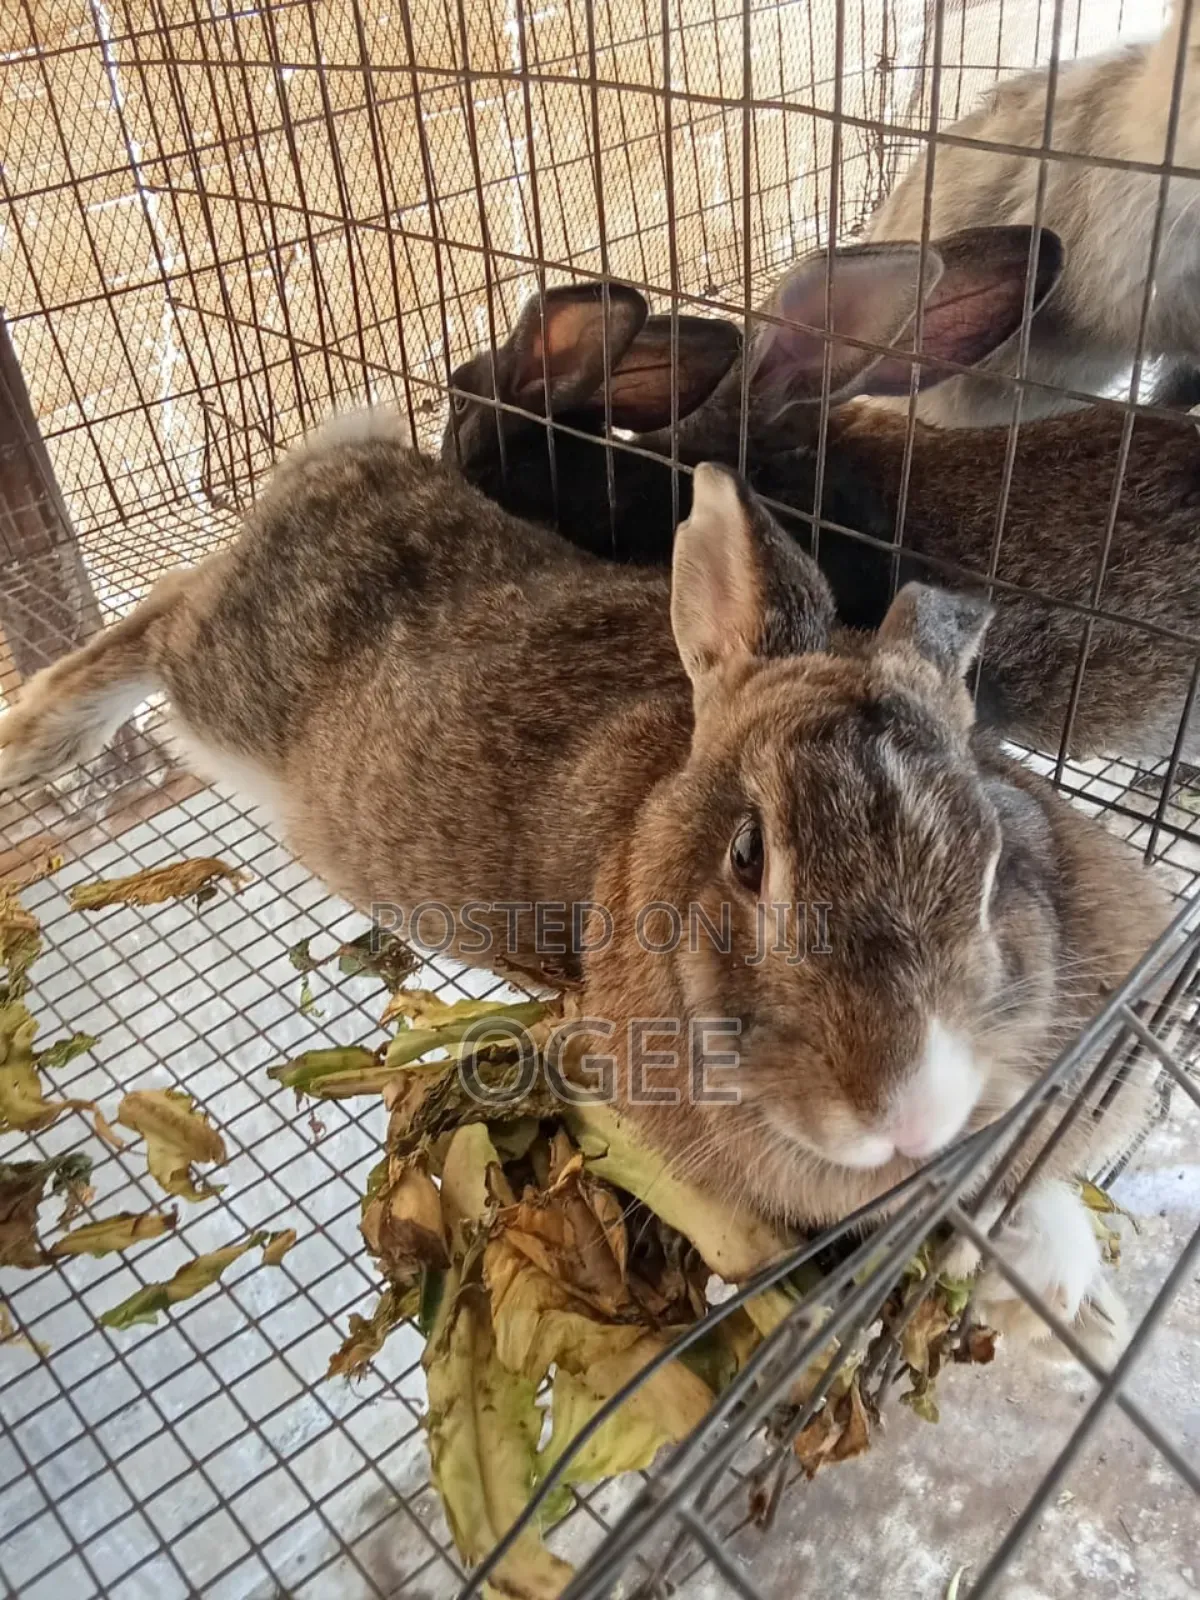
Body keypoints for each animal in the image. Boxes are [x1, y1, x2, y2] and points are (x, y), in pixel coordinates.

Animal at [0, 421, 1166, 1349]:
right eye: (750, 854)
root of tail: (348, 462)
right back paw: (37, 736)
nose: (912, 1114)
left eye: (991, 856)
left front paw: (1069, 1300)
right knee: (156, 619)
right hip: (224, 688)